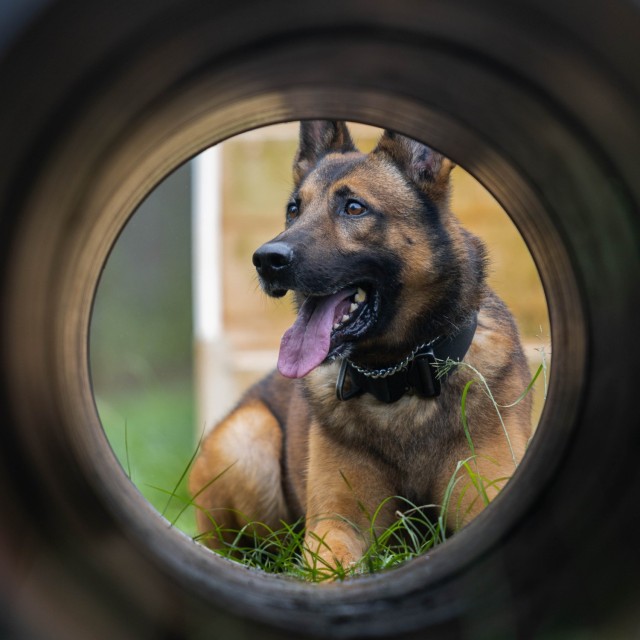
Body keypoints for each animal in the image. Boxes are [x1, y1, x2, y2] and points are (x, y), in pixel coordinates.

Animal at [189, 122, 528, 572]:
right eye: (293, 210)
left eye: (354, 208)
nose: (265, 260)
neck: (400, 379)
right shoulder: (335, 526)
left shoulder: (485, 498)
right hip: (247, 440)